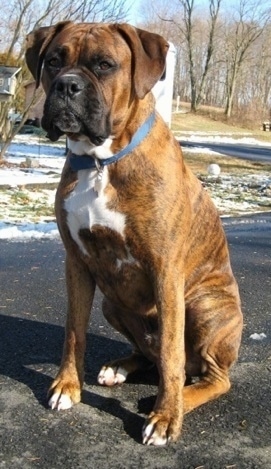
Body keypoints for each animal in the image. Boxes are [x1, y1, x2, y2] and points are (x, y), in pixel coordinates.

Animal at [26, 21, 244, 446]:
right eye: (54, 61)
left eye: (104, 65)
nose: (67, 85)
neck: (102, 161)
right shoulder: (77, 263)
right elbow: (74, 331)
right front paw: (66, 387)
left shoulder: (165, 272)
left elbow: (172, 354)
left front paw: (166, 417)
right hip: (114, 303)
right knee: (150, 355)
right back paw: (119, 368)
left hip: (203, 306)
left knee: (210, 376)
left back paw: (181, 398)